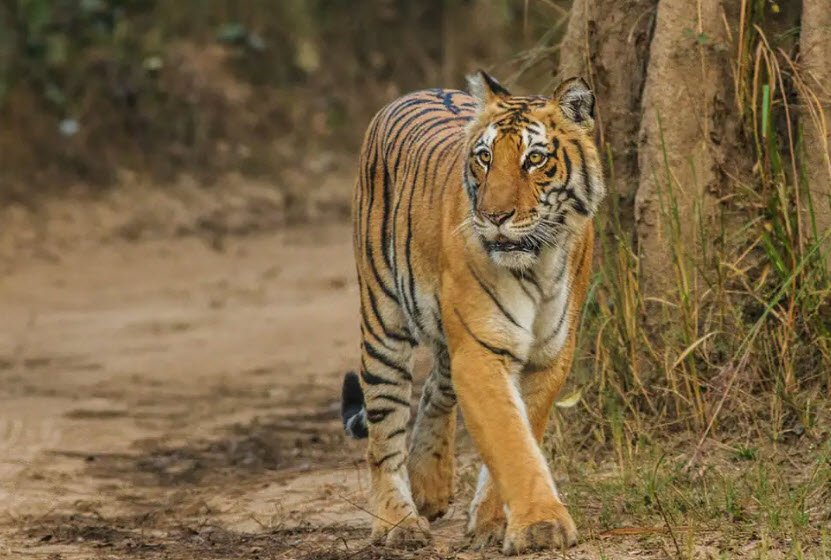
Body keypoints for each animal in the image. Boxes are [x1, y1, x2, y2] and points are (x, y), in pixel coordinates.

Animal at [340, 71, 604, 555]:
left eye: (534, 159)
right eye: (484, 158)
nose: (494, 216)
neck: (537, 264)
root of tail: (416, 91)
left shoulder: (549, 355)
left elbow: (523, 431)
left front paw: (494, 521)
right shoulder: (481, 351)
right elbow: (510, 440)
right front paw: (541, 525)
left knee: (434, 389)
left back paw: (430, 486)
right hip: (383, 321)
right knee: (384, 432)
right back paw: (398, 522)